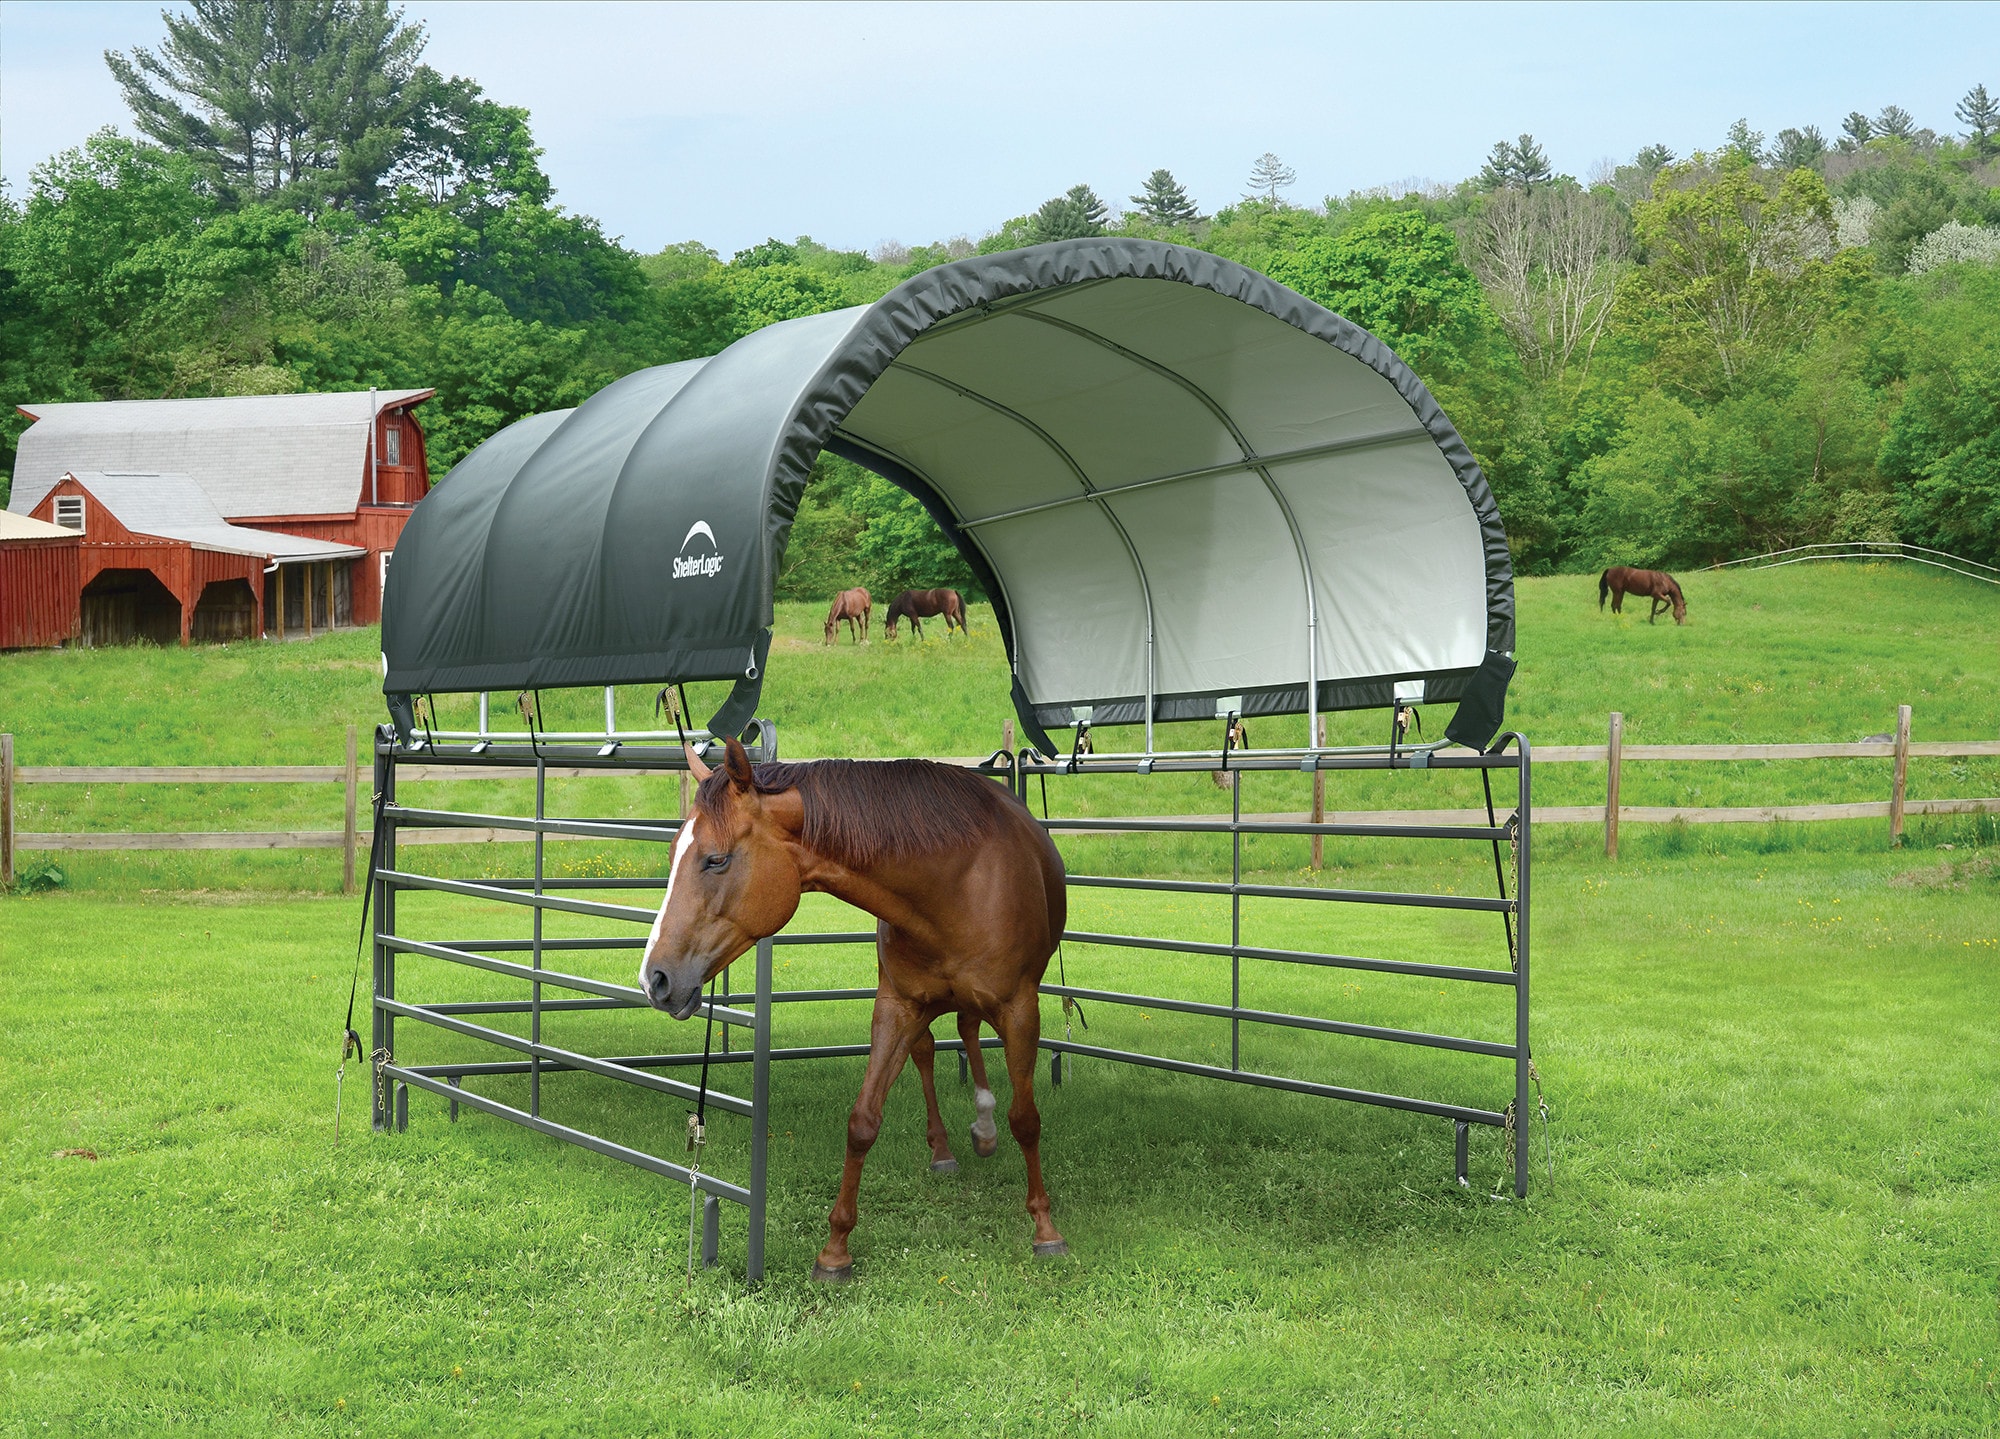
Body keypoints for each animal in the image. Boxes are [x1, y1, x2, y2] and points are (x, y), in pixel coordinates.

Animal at [648, 735, 1072, 1279]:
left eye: (716, 860)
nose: (654, 978)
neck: (955, 884)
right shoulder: (895, 1008)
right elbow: (863, 1121)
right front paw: (835, 1249)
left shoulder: (1021, 1010)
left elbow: (1027, 1119)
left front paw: (1045, 1228)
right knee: (936, 1046)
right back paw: (952, 1144)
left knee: (969, 1032)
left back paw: (984, 1126)